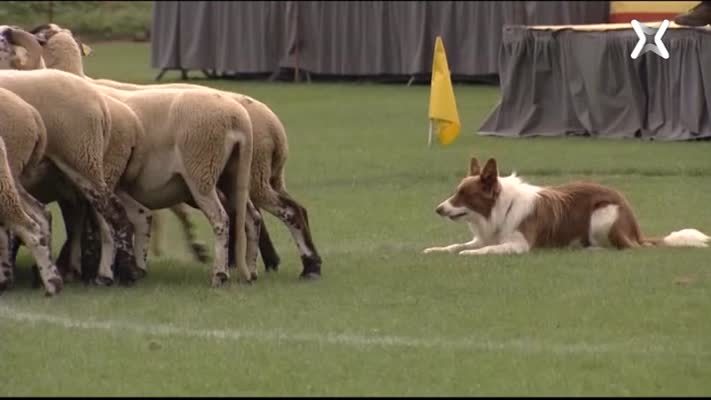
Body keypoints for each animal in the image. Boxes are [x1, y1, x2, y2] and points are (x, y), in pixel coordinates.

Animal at [0, 89, 63, 296]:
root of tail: (32, 112)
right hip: (12, 177)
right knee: (41, 215)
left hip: (9, 173)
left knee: (27, 227)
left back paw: (50, 283)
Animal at [30, 23, 324, 280]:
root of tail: (273, 126)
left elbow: (90, 223)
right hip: (255, 176)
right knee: (263, 214)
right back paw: (272, 265)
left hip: (239, 175)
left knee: (276, 212)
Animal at [426, 157, 708, 256]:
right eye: (456, 192)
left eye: (464, 194)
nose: (438, 209)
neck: (499, 209)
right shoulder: (483, 236)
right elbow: (456, 245)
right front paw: (436, 249)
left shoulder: (519, 244)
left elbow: (486, 250)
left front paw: (469, 254)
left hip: (603, 214)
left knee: (625, 248)